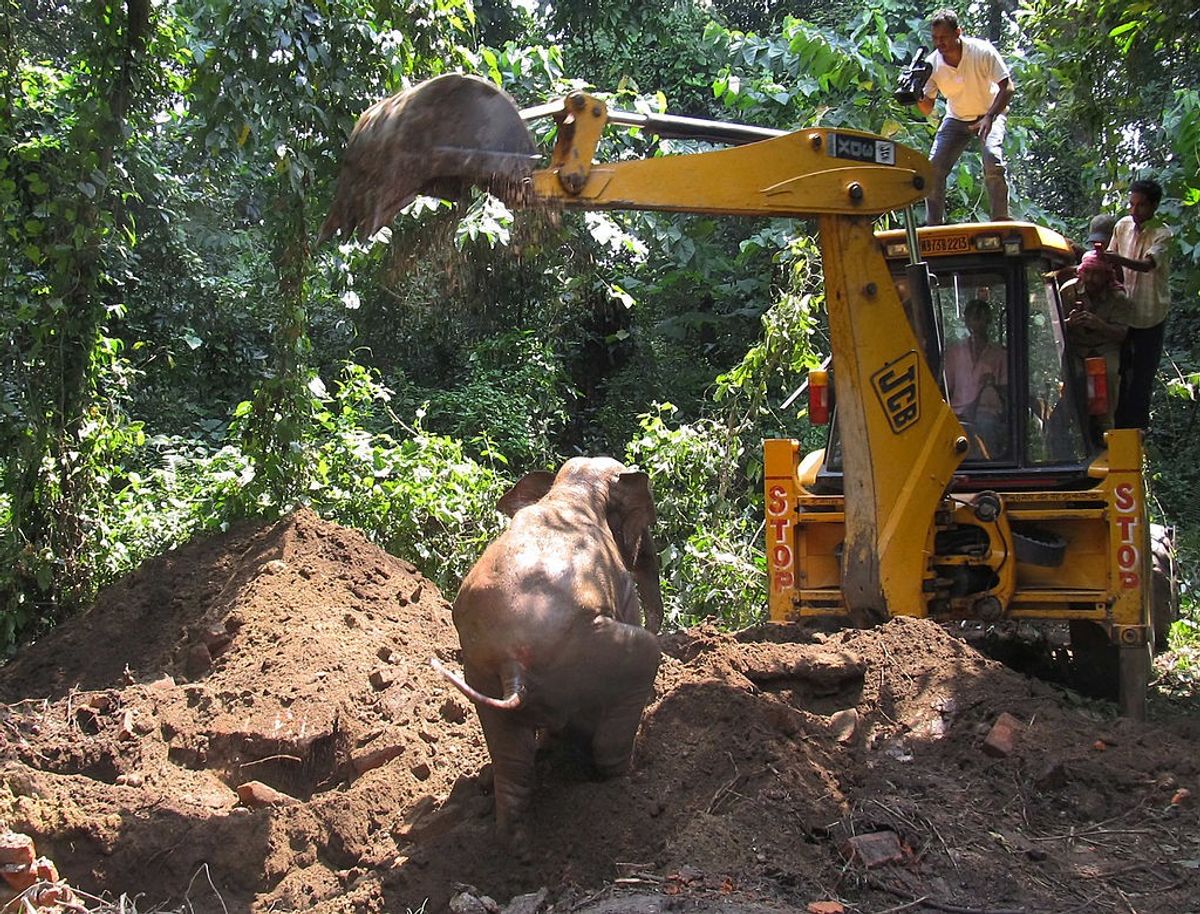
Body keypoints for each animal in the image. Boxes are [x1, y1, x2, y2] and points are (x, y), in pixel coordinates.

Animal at [431, 457, 663, 853]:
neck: (572, 489)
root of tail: (512, 663)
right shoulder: (620, 586)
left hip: (480, 672)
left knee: (511, 758)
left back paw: (517, 845)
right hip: (591, 650)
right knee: (644, 660)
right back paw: (627, 777)